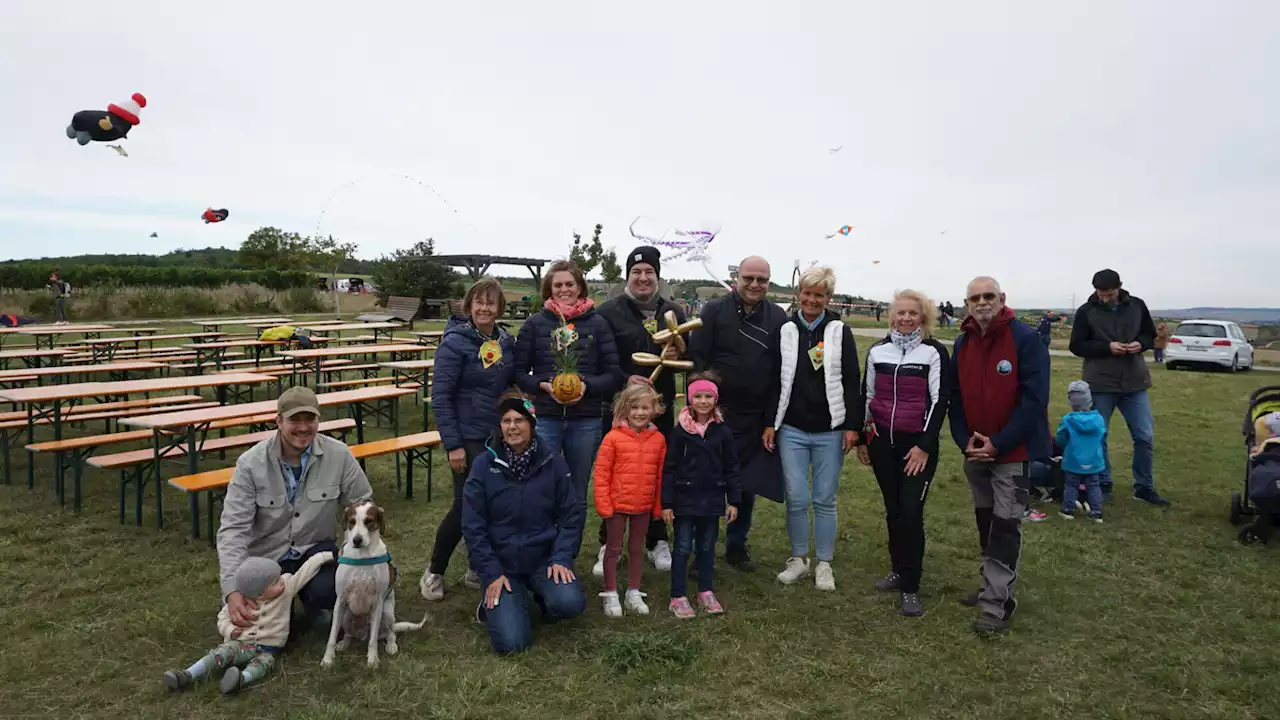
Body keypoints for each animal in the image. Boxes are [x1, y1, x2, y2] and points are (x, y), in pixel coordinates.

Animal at [322, 497, 427, 666]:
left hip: (387, 612)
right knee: (349, 634)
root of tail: (362, 632)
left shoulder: (378, 602)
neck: (362, 556)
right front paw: (327, 659)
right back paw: (344, 643)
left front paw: (372, 659)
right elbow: (332, 636)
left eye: (369, 521)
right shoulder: (340, 599)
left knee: (389, 632)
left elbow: (373, 641)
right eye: (352, 521)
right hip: (346, 615)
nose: (357, 540)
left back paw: (391, 645)